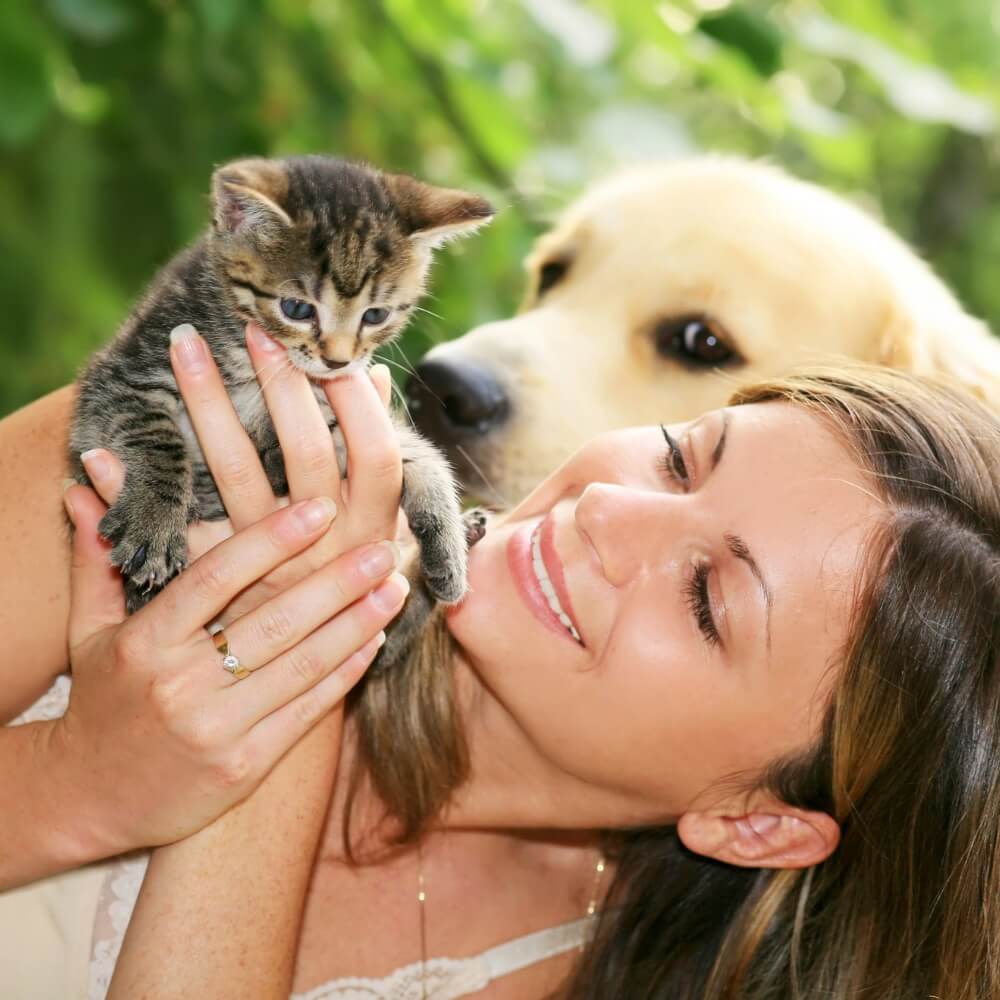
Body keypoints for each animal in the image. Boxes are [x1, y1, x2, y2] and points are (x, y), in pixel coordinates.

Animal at [69, 154, 492, 672]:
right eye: (296, 308)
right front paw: (156, 520)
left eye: (375, 315)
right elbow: (156, 437)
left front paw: (446, 539)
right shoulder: (123, 376)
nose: (338, 361)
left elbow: (414, 453)